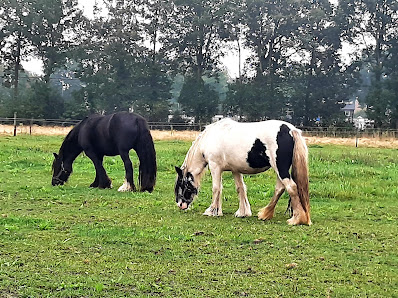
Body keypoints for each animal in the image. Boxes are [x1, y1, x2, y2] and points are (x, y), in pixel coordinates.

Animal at [175, 117, 310, 225]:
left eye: (182, 184)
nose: (180, 205)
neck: (209, 138)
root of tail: (291, 130)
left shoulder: (215, 167)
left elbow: (216, 188)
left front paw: (212, 211)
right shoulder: (235, 170)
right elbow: (240, 188)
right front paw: (242, 212)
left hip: (280, 168)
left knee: (291, 187)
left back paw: (297, 219)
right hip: (279, 170)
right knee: (280, 188)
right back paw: (265, 214)